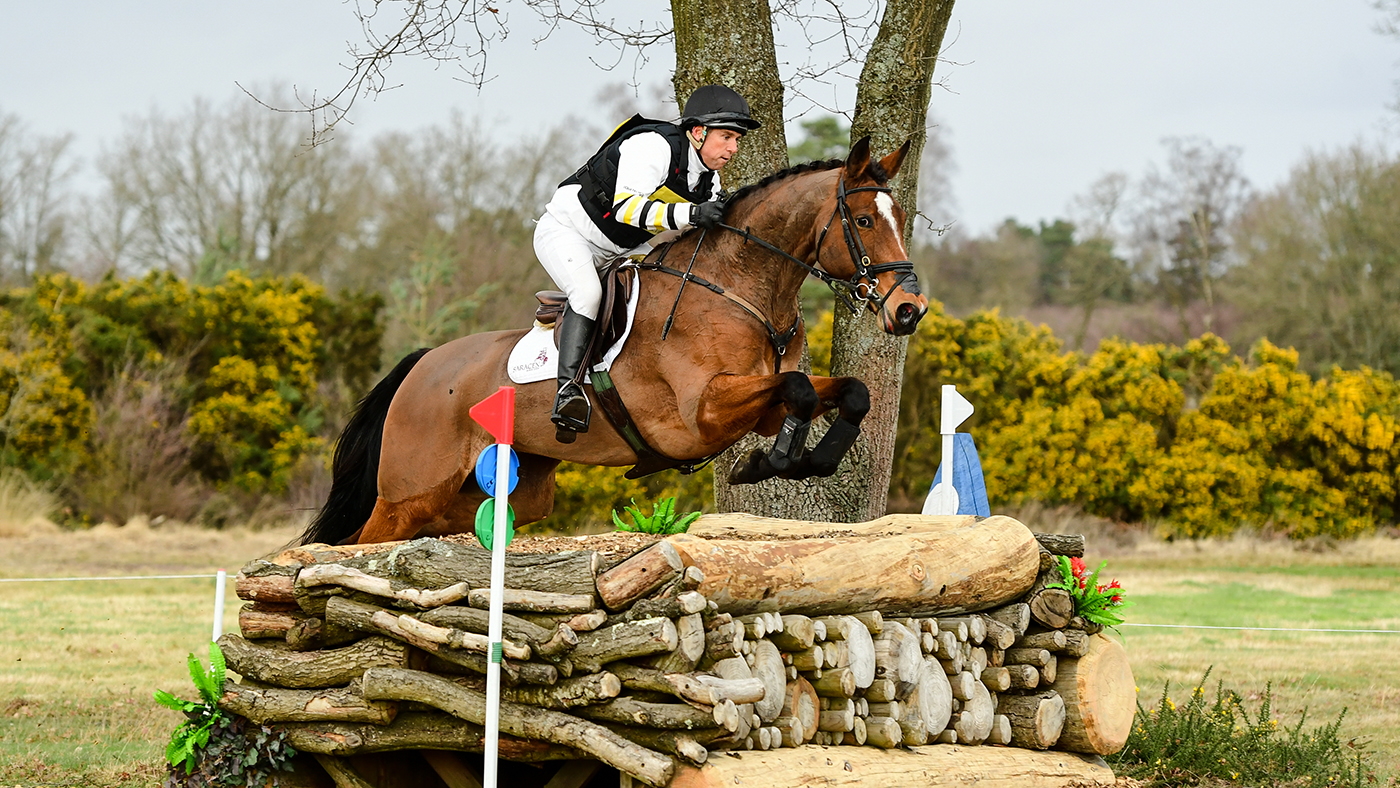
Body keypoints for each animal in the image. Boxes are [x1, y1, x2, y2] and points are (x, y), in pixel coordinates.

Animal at [301, 137, 929, 547]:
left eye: (902, 217)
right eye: (865, 222)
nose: (909, 310)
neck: (739, 288)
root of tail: (420, 366)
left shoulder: (760, 400)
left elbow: (847, 392)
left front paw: (807, 460)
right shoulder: (702, 413)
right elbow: (798, 387)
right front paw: (765, 464)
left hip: (497, 493)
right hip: (413, 492)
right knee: (357, 543)